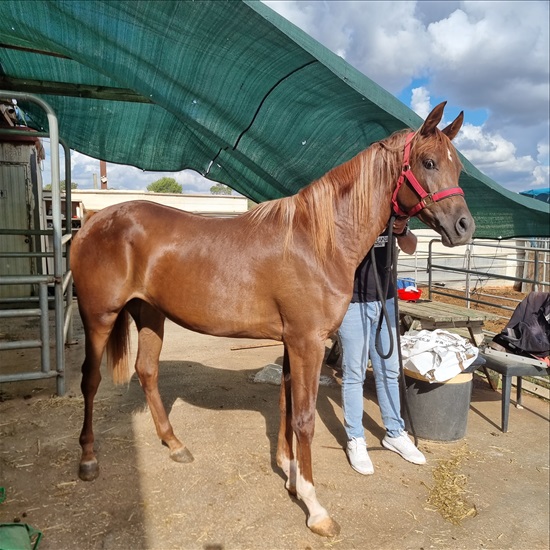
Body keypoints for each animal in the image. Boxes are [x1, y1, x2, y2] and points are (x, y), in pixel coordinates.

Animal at [71, 101, 476, 536]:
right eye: (429, 162)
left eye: (457, 168)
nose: (464, 227)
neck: (318, 240)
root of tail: (93, 220)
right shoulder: (307, 342)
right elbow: (304, 418)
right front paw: (315, 507)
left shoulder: (291, 342)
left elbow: (285, 405)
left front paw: (290, 474)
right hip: (99, 317)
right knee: (90, 380)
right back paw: (88, 459)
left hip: (150, 314)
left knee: (147, 371)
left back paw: (175, 445)